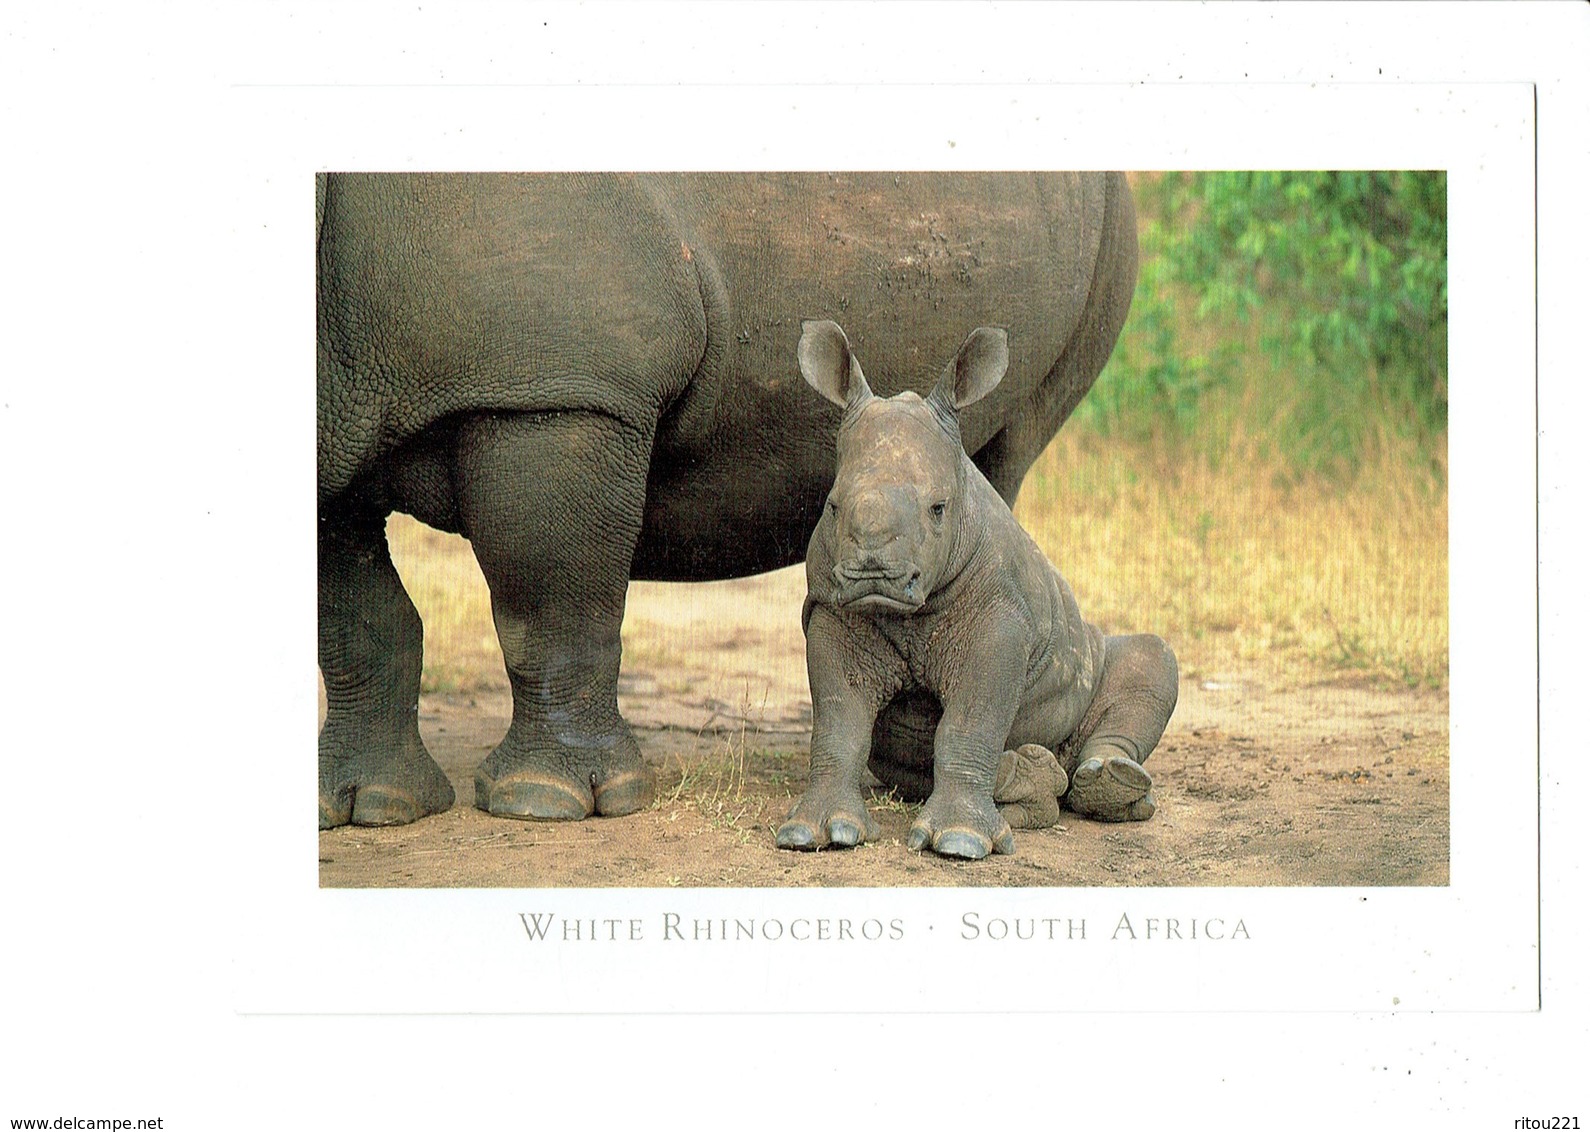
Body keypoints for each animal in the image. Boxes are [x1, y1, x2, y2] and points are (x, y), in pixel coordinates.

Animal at [782, 317, 1182, 858]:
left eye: (939, 509)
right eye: (831, 506)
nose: (874, 577)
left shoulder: (1000, 617)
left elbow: (972, 720)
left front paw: (960, 843)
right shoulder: (833, 607)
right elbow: (838, 719)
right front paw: (816, 833)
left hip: (1084, 647)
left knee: (1153, 656)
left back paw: (1108, 783)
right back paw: (1034, 777)